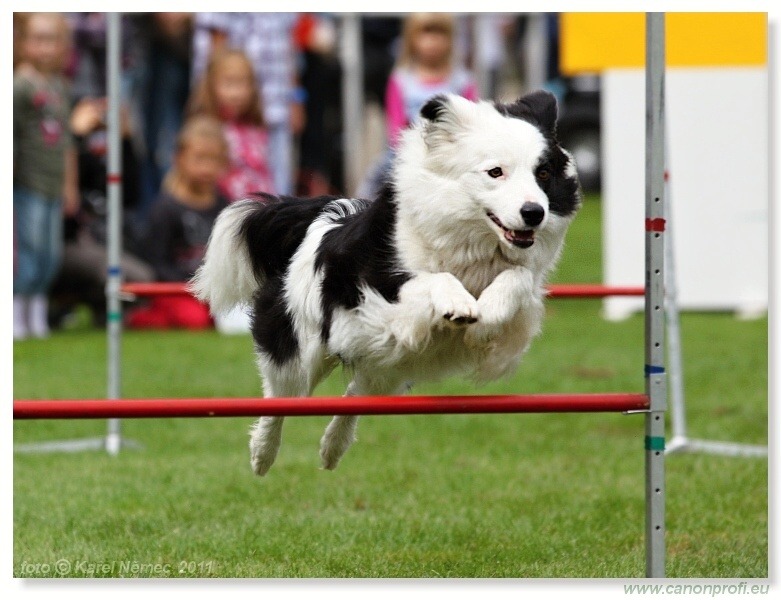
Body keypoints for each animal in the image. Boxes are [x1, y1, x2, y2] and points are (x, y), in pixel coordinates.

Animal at [189, 91, 580, 474]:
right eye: (495, 172)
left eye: (544, 172)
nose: (534, 213)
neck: (470, 244)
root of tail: (328, 209)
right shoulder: (376, 301)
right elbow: (428, 279)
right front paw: (457, 304)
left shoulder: (515, 306)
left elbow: (518, 278)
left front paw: (487, 316)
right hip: (306, 348)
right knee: (282, 397)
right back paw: (262, 453)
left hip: (389, 364)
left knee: (355, 393)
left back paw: (332, 448)